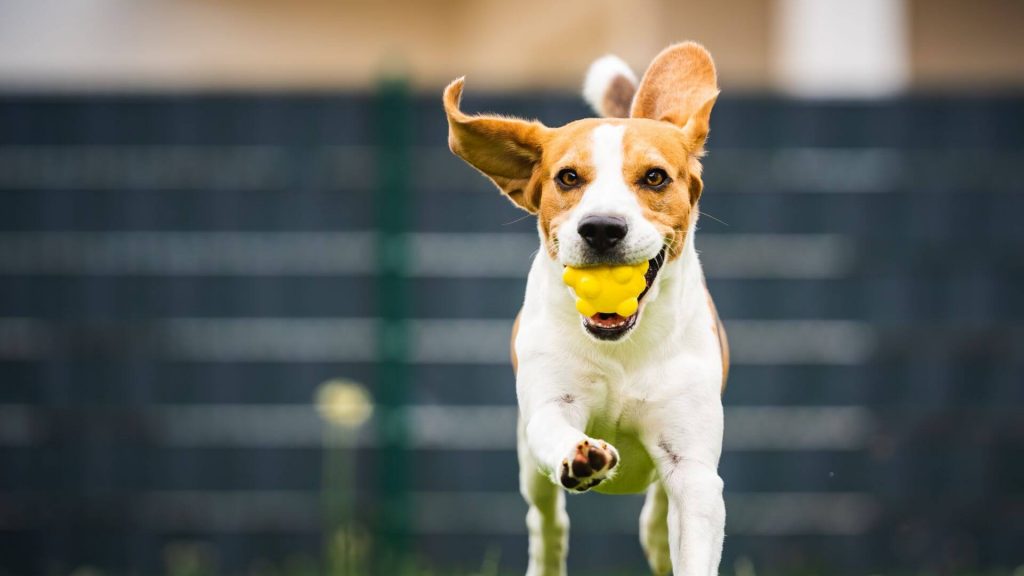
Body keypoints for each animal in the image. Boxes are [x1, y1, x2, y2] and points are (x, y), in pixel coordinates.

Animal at [444, 42, 733, 569]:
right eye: (568, 177)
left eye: (655, 177)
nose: (601, 227)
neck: (623, 349)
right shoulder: (549, 405)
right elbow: (557, 430)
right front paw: (582, 456)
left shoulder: (693, 468)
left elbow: (694, 526)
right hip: (528, 466)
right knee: (546, 520)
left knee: (656, 520)